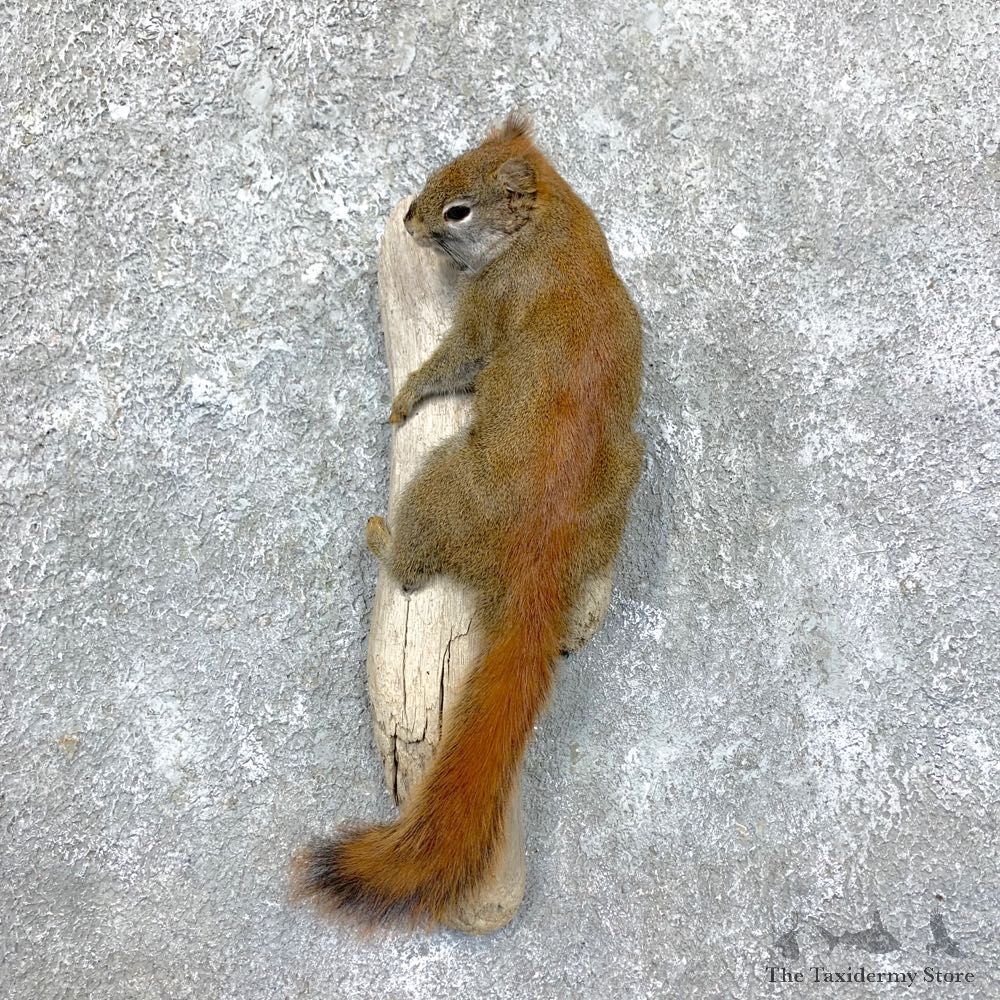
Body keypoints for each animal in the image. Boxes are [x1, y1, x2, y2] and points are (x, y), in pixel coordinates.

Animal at [293, 112, 643, 927]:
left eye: (458, 211)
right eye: (437, 173)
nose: (410, 221)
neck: (558, 228)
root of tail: (537, 564)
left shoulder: (488, 310)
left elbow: (455, 360)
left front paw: (406, 397)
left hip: (441, 486)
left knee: (412, 568)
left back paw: (383, 538)